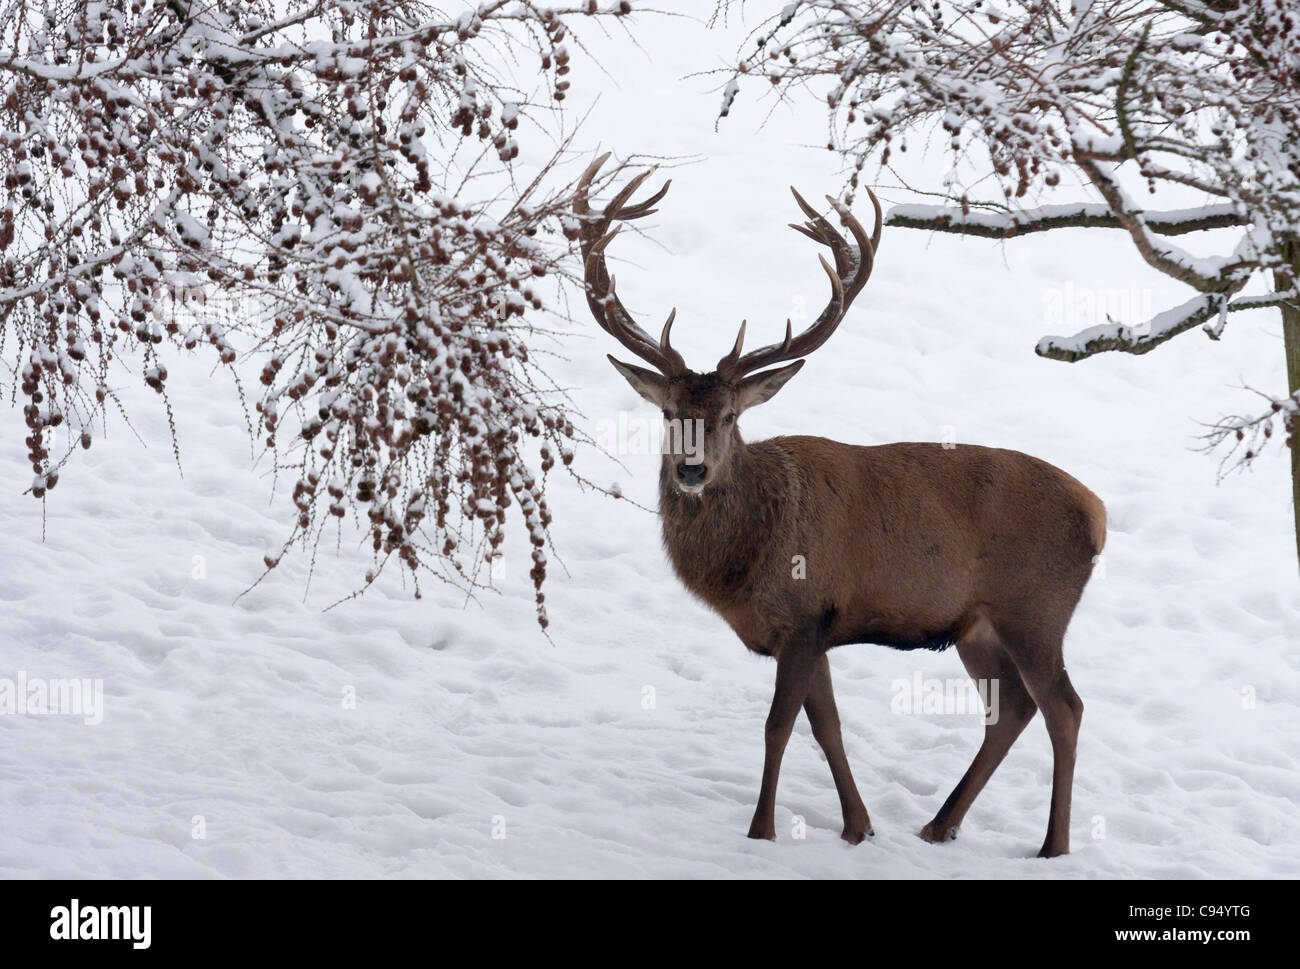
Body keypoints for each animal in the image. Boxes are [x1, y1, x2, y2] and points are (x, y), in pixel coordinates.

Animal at [577, 154, 1107, 858]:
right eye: (668, 411)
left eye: (728, 416)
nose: (690, 469)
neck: (747, 561)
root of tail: (1099, 514)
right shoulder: (816, 629)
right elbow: (826, 726)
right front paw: (859, 826)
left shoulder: (805, 617)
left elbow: (778, 727)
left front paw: (762, 830)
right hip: (978, 627)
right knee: (1014, 709)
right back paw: (939, 824)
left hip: (1037, 609)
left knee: (1064, 708)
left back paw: (1053, 845)